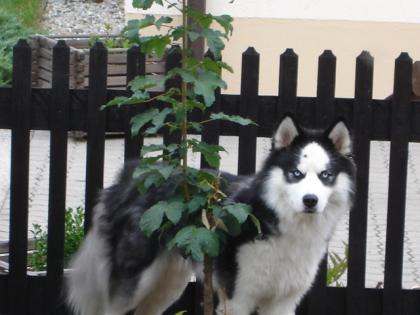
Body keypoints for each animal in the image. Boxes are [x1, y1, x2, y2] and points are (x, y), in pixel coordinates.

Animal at [67, 116, 356, 315]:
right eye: (296, 173)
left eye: (326, 175)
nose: (310, 200)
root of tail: (132, 174)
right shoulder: (238, 298)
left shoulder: (283, 302)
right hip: (133, 282)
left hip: (168, 284)